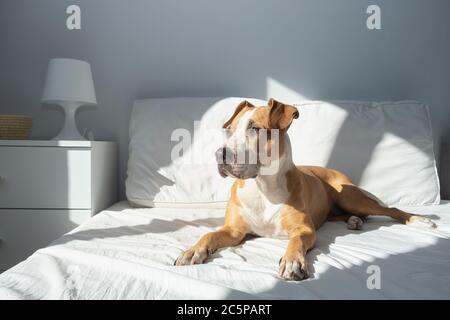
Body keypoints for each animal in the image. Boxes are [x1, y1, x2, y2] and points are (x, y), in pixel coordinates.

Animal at [175, 97, 436, 280]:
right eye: (230, 131)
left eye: (255, 129)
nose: (220, 154)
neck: (262, 186)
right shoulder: (233, 230)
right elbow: (209, 234)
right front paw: (192, 251)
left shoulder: (304, 229)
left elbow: (296, 241)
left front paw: (292, 262)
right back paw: (354, 221)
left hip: (350, 196)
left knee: (389, 209)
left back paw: (419, 219)